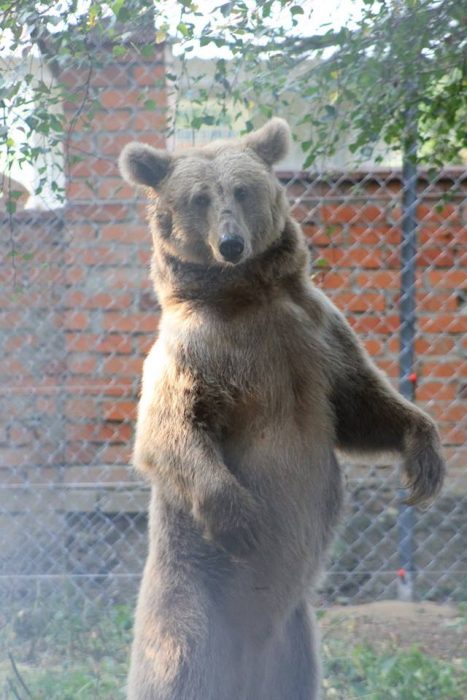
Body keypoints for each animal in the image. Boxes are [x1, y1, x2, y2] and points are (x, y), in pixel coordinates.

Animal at [119, 117, 444, 696]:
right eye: (200, 198)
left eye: (243, 190)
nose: (230, 243)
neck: (249, 297)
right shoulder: (193, 354)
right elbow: (170, 431)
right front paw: (242, 518)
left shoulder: (316, 336)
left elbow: (362, 406)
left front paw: (423, 462)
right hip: (189, 606)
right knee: (176, 666)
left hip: (296, 638)